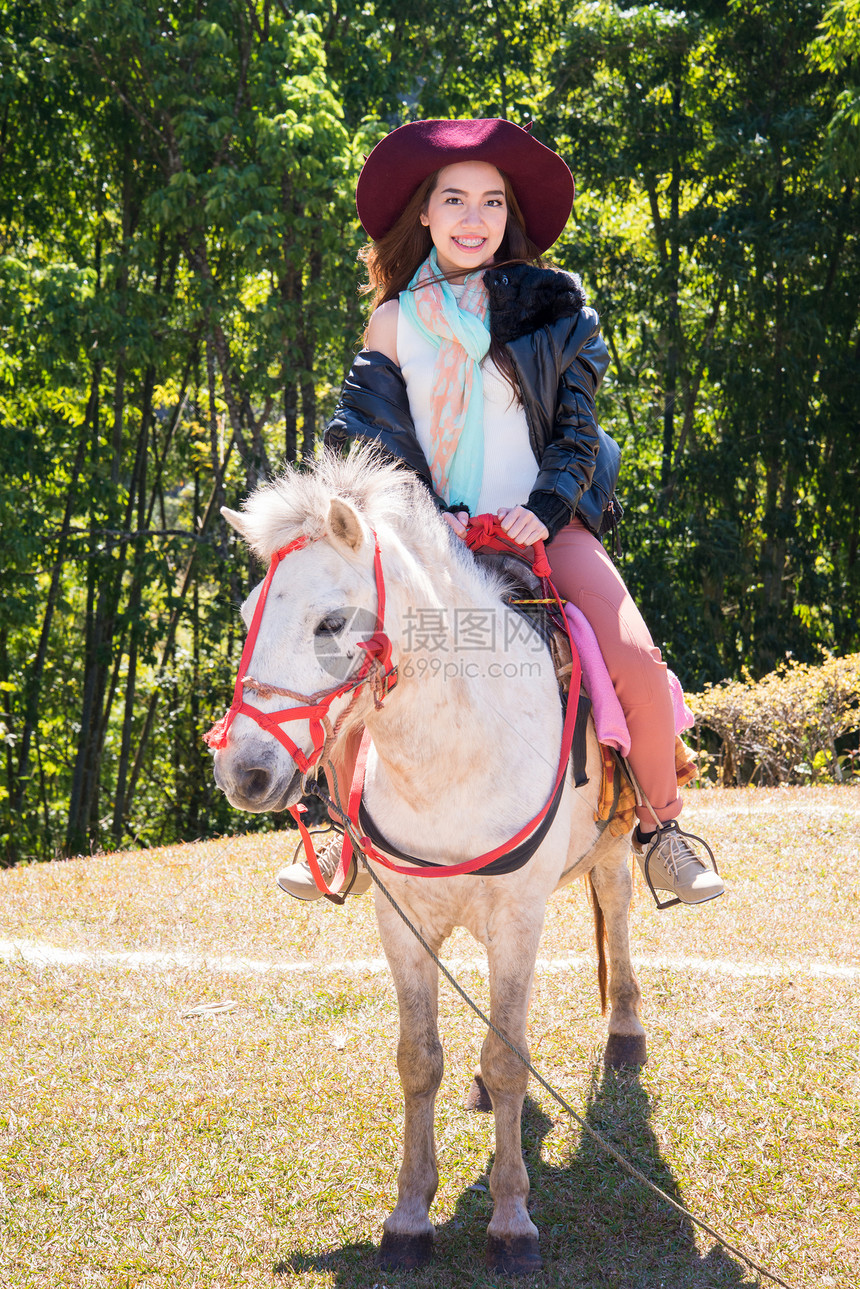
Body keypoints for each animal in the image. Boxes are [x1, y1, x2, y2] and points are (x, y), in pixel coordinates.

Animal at [214, 448, 644, 1273]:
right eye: (250, 616)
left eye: (330, 622)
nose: (245, 771)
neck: (457, 750)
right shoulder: (402, 920)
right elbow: (419, 1058)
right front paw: (410, 1216)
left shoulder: (518, 916)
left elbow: (509, 1055)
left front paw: (511, 1221)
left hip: (614, 842)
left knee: (618, 907)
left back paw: (628, 1031)